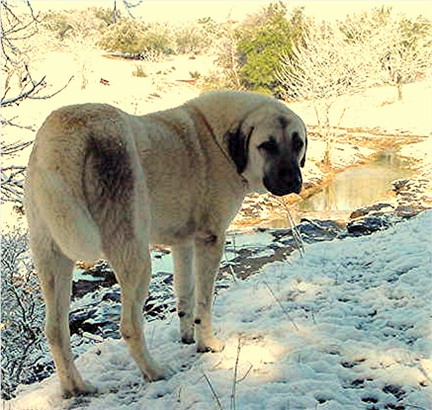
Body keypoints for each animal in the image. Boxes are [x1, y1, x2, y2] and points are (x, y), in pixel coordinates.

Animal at [24, 90, 308, 398]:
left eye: (298, 143)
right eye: (266, 145)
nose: (293, 180)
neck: (217, 140)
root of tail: (62, 135)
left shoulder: (182, 243)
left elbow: (185, 294)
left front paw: (187, 337)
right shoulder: (210, 239)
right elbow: (204, 302)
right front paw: (208, 345)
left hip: (52, 259)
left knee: (55, 330)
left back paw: (76, 387)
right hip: (136, 258)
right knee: (129, 326)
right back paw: (154, 371)